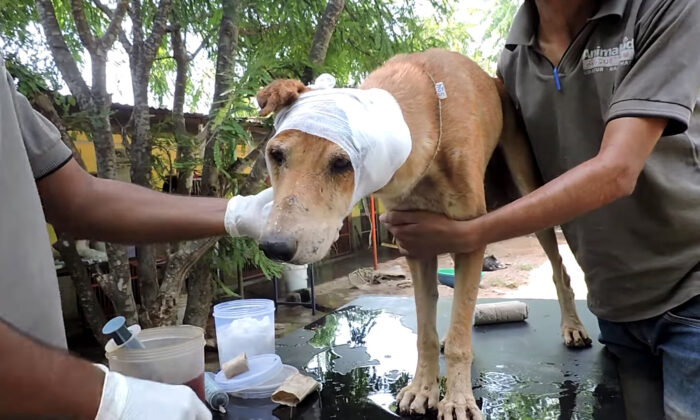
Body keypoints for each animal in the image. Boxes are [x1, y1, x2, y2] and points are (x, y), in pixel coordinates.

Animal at [258, 48, 592, 416]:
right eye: (276, 155)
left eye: (342, 163)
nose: (273, 247)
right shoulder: (417, 245)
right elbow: (425, 332)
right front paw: (423, 388)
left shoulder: (469, 238)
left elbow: (460, 338)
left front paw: (458, 400)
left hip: (528, 190)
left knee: (559, 270)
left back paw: (573, 327)